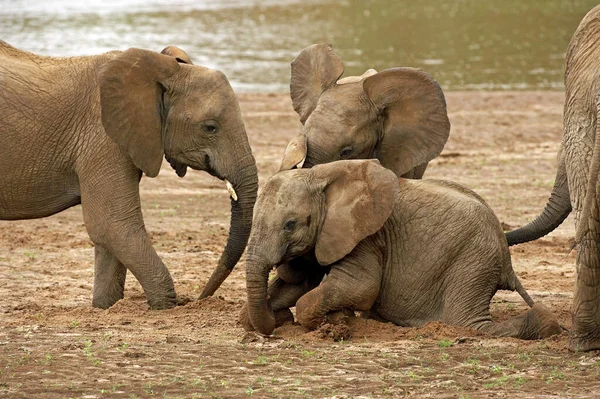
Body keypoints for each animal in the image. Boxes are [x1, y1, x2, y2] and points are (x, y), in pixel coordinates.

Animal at [0, 41, 258, 310]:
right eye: (210, 127)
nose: (198, 299)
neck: (161, 71)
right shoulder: (104, 138)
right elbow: (112, 224)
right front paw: (165, 307)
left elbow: (109, 235)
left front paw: (105, 307)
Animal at [239, 160, 564, 340]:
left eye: (290, 225)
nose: (275, 323)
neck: (320, 176)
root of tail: (506, 258)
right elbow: (297, 283)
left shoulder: (367, 235)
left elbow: (360, 286)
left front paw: (336, 322)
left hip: (474, 260)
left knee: (466, 322)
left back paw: (543, 323)